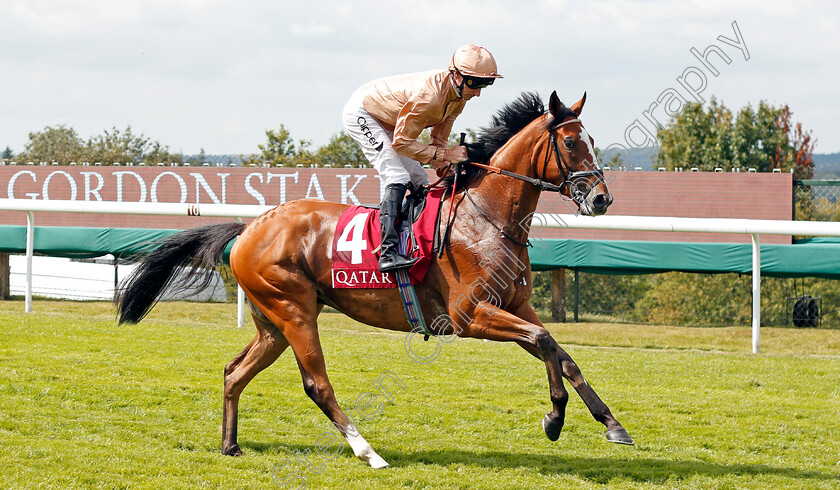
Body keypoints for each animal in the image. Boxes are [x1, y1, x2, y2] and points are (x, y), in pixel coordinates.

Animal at [115, 90, 632, 468]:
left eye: (590, 139)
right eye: (572, 143)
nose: (602, 198)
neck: (486, 217)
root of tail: (250, 228)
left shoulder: (515, 307)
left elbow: (561, 353)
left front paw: (607, 423)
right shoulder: (470, 316)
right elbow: (546, 342)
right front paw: (557, 417)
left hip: (273, 324)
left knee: (234, 372)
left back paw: (230, 444)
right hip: (295, 312)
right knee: (317, 385)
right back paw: (369, 452)